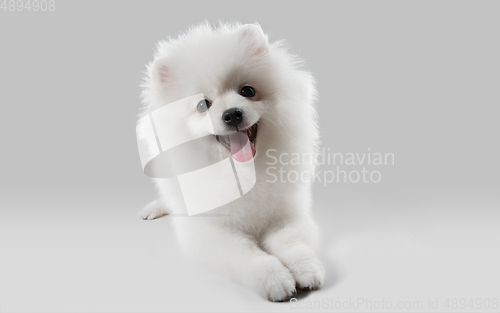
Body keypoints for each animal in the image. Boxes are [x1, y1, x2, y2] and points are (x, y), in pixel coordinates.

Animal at [137, 22, 324, 300]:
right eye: (202, 105)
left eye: (247, 91)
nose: (232, 114)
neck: (241, 172)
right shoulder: (213, 232)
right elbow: (245, 254)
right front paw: (274, 278)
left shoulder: (285, 215)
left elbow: (292, 242)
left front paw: (306, 268)